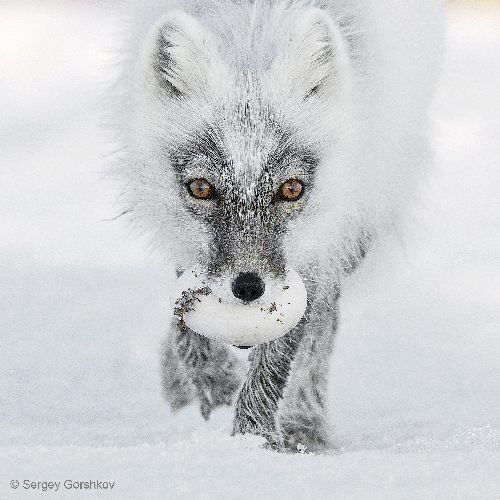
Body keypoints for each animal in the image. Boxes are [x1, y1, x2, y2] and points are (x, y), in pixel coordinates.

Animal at [111, 0, 444, 452]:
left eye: (291, 189)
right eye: (201, 188)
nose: (249, 288)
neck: (251, 33)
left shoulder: (317, 249)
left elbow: (281, 355)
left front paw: (254, 441)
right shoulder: (184, 243)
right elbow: (188, 331)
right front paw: (216, 388)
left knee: (322, 326)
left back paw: (305, 423)